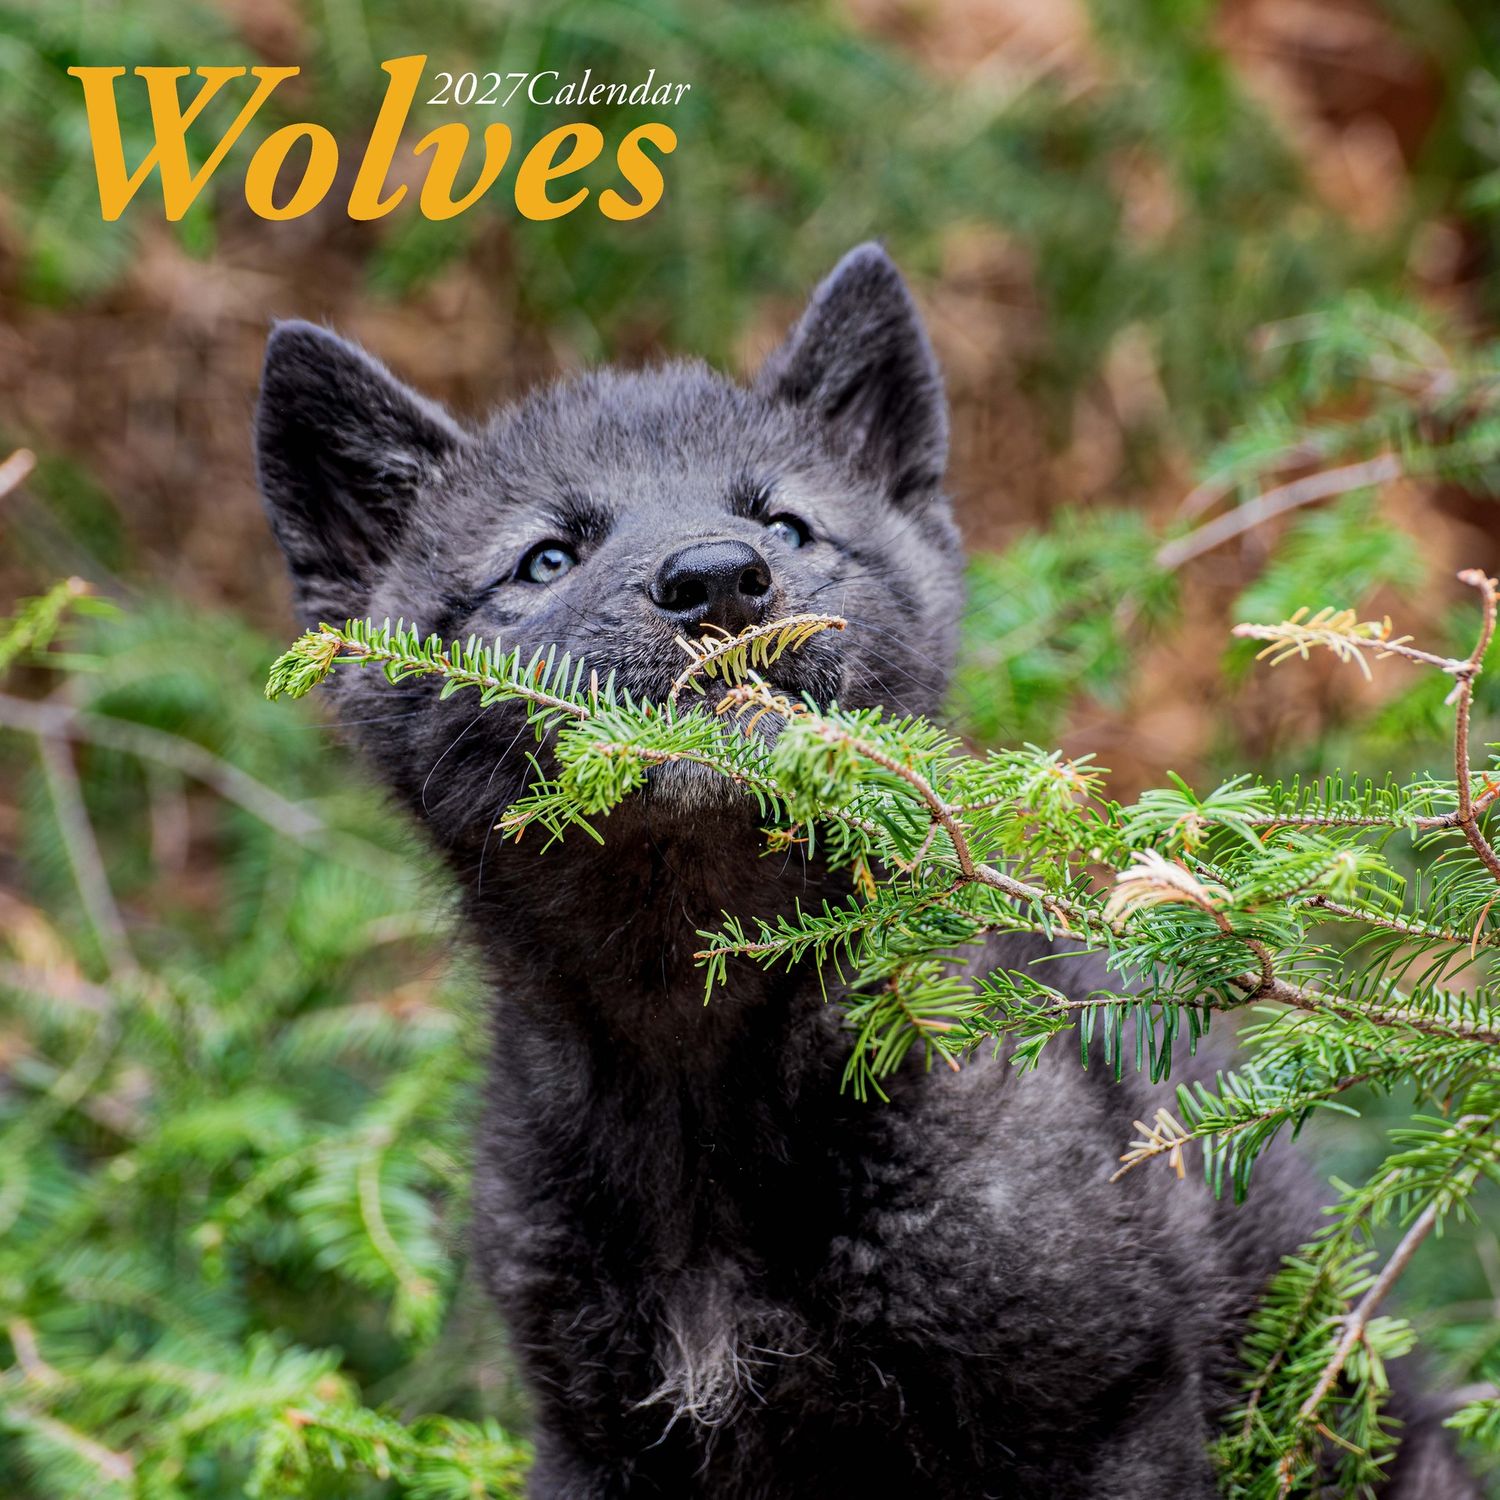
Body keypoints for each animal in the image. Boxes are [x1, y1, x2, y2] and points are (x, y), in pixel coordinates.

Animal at [255, 245, 1478, 1497]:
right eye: (546, 558)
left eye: (787, 526)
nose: (719, 580)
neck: (699, 1076)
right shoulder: (599, 1440)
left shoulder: (1101, 1407)